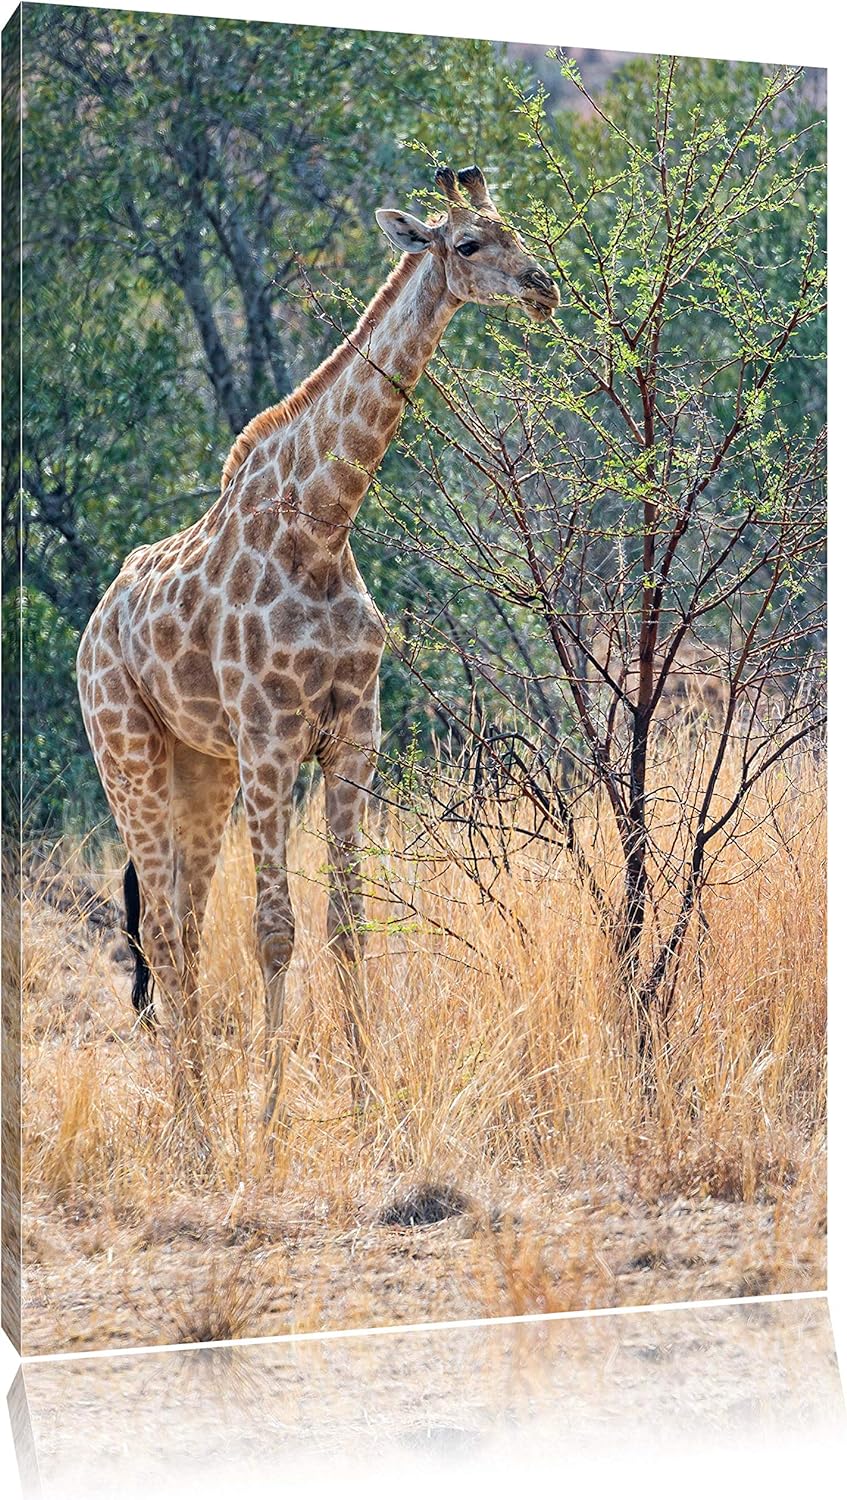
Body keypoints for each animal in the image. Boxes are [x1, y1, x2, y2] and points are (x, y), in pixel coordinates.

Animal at [76, 164, 560, 1129]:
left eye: (516, 229)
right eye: (468, 244)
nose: (541, 288)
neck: (324, 525)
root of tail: (94, 625)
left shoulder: (351, 740)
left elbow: (346, 923)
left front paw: (368, 1100)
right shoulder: (271, 741)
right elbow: (274, 929)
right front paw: (268, 1115)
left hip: (201, 768)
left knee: (182, 925)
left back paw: (197, 1107)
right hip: (129, 753)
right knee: (160, 928)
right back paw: (197, 1124)